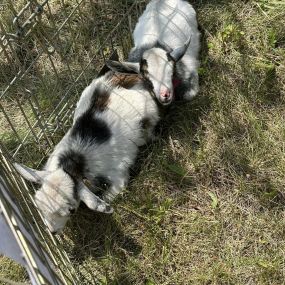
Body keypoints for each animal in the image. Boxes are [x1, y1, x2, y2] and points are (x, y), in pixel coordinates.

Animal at [13, 70, 160, 233]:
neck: (72, 162)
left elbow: (114, 190)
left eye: (71, 210)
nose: (53, 231)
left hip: (151, 112)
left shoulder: (117, 172)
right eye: (39, 206)